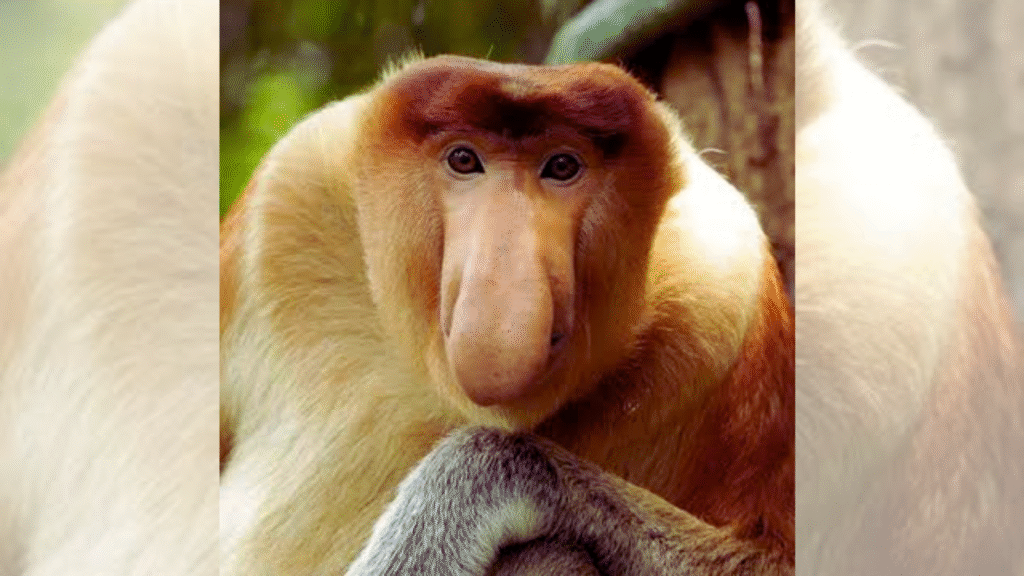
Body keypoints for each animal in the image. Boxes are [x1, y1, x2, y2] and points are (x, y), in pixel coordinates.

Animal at [219, 54, 794, 574]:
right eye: (464, 160)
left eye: (562, 166)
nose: (502, 273)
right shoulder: (292, 188)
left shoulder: (726, 287)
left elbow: (773, 555)